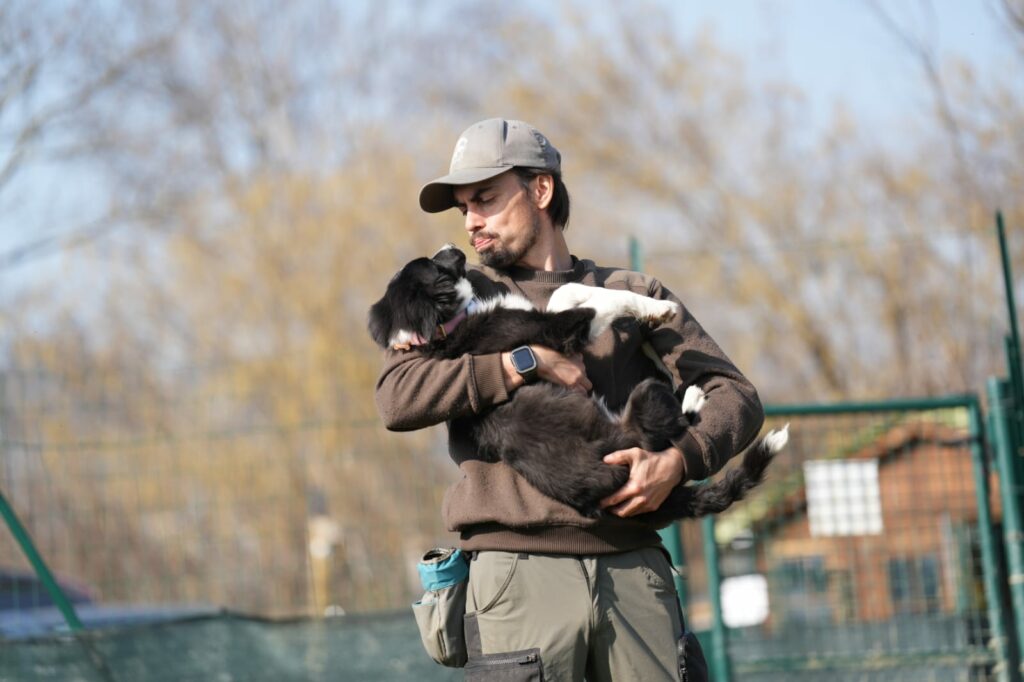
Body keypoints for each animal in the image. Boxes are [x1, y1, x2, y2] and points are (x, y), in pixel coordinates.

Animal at [372, 246, 786, 522]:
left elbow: (569, 292)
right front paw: (658, 309)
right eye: (432, 264)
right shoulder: (561, 328)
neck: (450, 327)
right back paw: (693, 398)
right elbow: (581, 295)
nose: (452, 247)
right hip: (643, 402)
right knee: (669, 423)